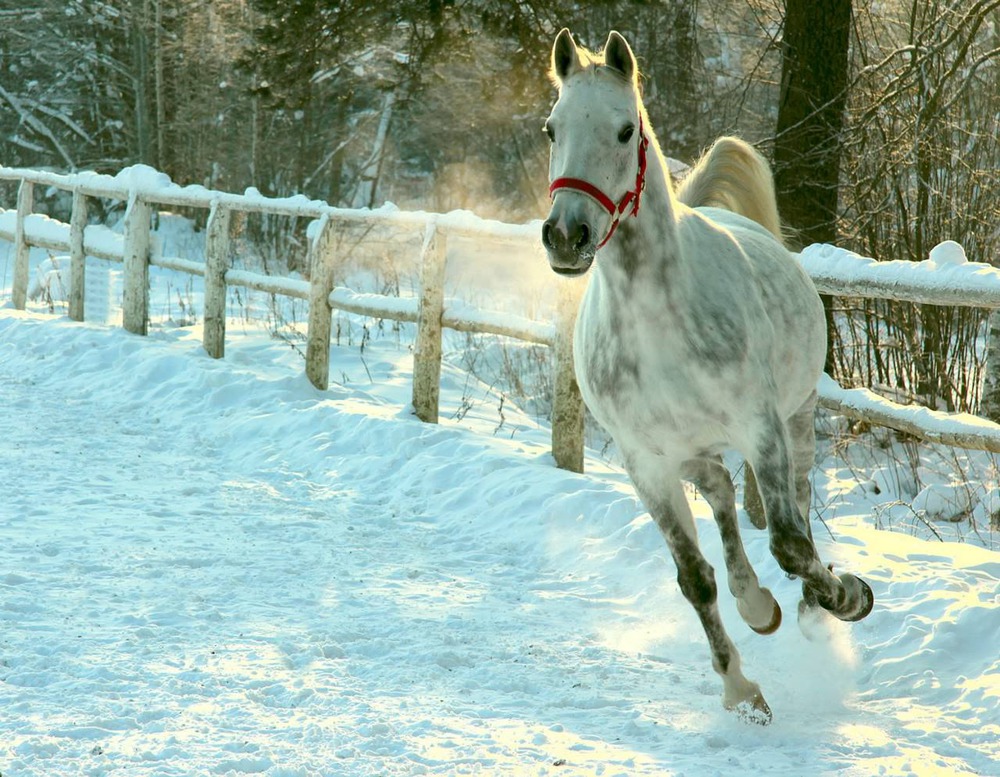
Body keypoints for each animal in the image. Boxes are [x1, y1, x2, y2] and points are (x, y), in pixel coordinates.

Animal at [540, 28, 876, 720]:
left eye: (624, 130)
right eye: (551, 129)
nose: (565, 235)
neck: (657, 323)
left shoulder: (761, 429)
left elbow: (791, 543)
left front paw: (848, 596)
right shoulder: (646, 462)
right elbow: (694, 578)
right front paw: (741, 690)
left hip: (798, 417)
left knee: (798, 506)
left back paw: (810, 607)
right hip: (688, 450)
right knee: (719, 488)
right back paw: (757, 605)